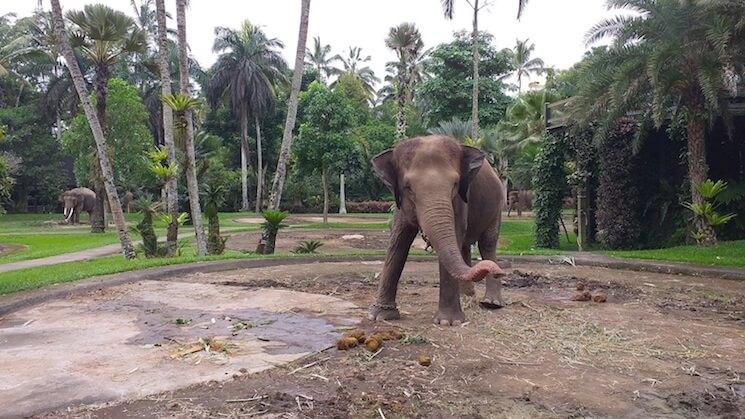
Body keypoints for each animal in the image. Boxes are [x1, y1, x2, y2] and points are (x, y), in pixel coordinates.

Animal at [370, 135, 506, 326]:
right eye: (408, 187)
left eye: (455, 184)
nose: (499, 271)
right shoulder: (401, 204)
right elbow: (398, 239)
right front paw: (381, 316)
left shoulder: (460, 201)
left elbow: (454, 233)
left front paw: (448, 322)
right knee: (464, 246)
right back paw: (467, 297)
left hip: (497, 207)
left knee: (487, 243)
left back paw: (491, 303)